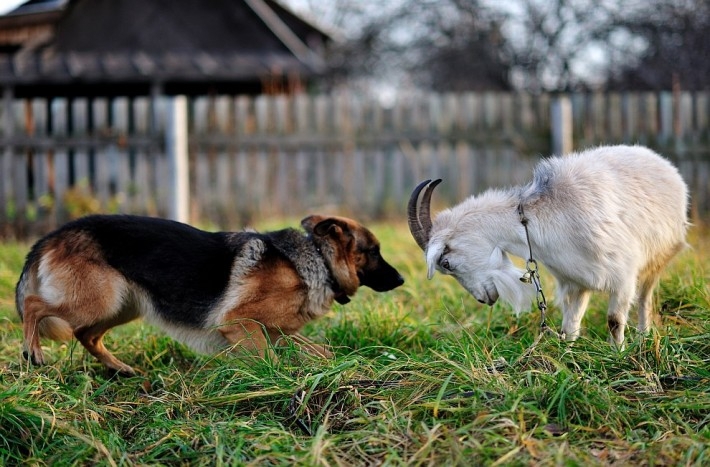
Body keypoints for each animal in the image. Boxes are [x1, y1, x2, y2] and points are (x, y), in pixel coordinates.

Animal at [16, 214, 404, 374]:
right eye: (373, 251)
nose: (401, 279)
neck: (316, 259)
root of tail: (53, 234)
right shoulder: (241, 324)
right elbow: (271, 361)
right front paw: (278, 382)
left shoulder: (277, 332)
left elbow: (321, 351)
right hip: (100, 299)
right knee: (34, 305)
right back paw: (33, 352)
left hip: (122, 305)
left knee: (87, 335)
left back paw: (120, 368)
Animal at [408, 144, 692, 346]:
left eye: (446, 263)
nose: (483, 300)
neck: (535, 218)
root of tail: (665, 165)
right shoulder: (575, 280)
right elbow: (570, 326)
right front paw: (568, 357)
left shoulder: (622, 275)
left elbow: (613, 321)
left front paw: (617, 356)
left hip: (658, 257)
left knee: (644, 298)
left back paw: (644, 337)